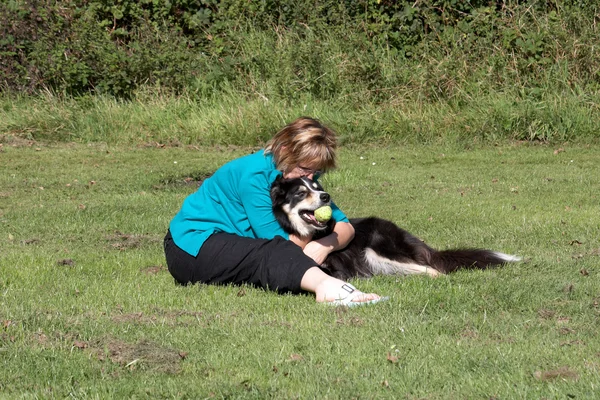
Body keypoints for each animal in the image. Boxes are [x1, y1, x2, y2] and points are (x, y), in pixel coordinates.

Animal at [272, 175, 520, 282]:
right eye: (301, 192)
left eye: (317, 188)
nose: (326, 196)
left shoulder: (339, 269)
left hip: (379, 250)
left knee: (433, 270)